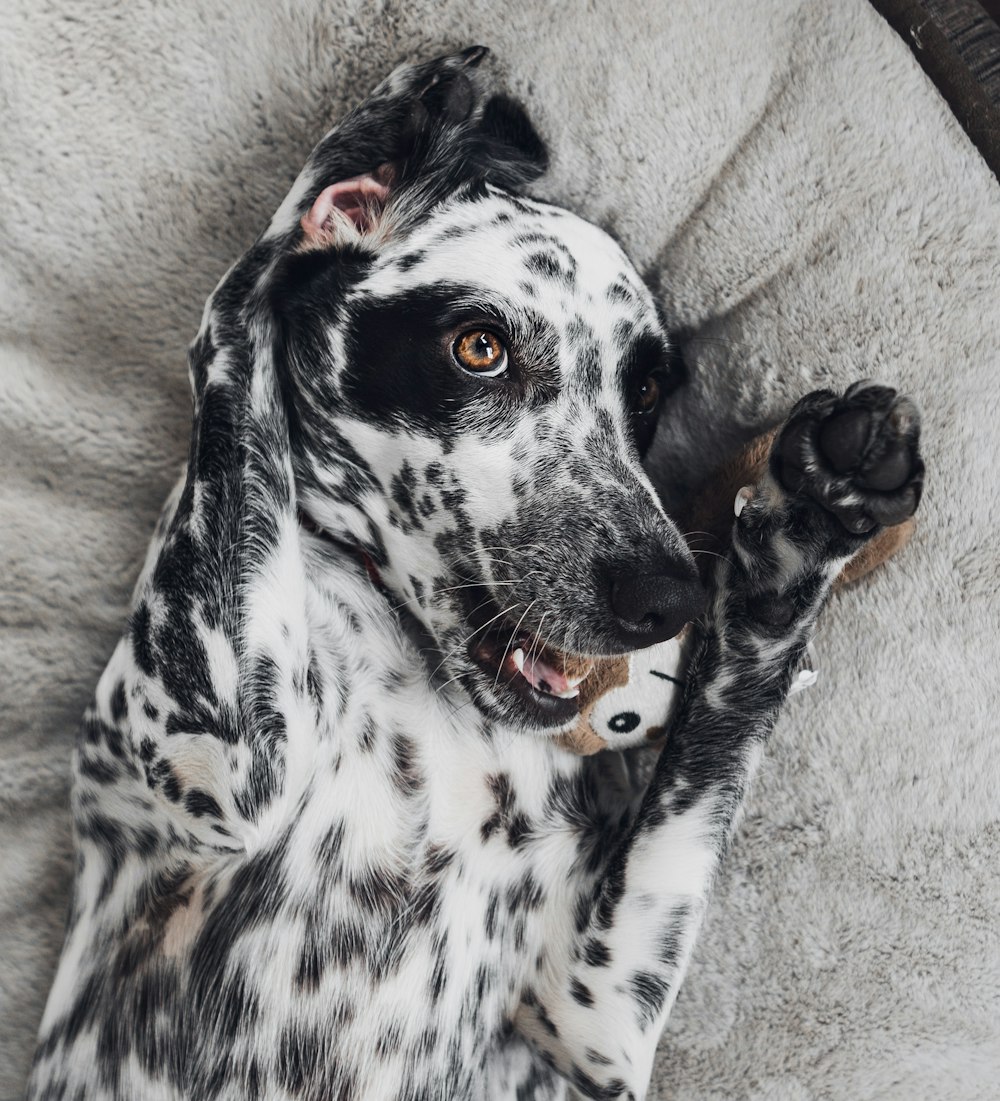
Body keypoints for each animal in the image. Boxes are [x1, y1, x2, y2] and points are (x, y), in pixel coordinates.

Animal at [27, 45, 925, 1101]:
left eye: (644, 389)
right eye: (480, 348)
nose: (666, 597)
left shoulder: (591, 1022)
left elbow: (726, 718)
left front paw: (806, 524)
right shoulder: (215, 754)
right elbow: (238, 304)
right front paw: (393, 122)